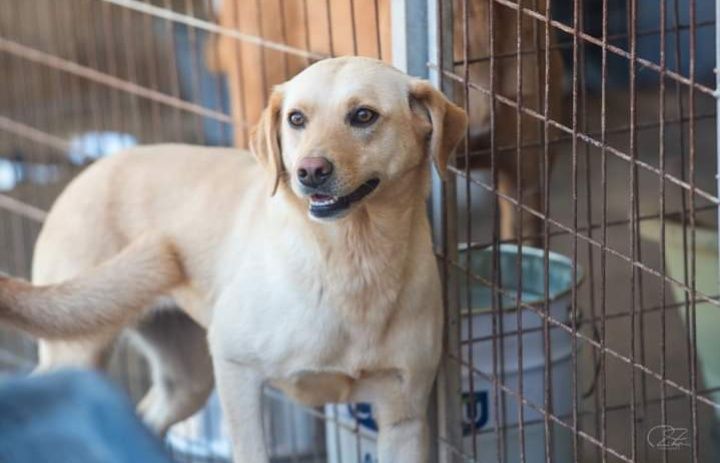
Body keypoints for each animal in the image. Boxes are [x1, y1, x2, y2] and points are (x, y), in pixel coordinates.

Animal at [0, 58, 466, 463]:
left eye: (364, 115)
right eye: (296, 119)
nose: (309, 171)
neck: (353, 260)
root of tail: (91, 169)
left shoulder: (404, 415)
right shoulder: (235, 368)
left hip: (186, 378)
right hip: (76, 350)